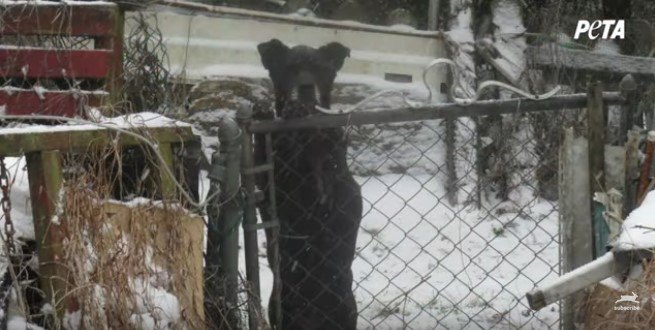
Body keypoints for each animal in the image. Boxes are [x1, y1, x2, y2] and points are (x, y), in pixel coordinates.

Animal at [255, 39, 362, 330]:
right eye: (290, 68)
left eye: (320, 69)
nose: (305, 87)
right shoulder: (271, 188)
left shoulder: (337, 186)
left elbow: (331, 160)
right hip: (279, 309)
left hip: (346, 309)